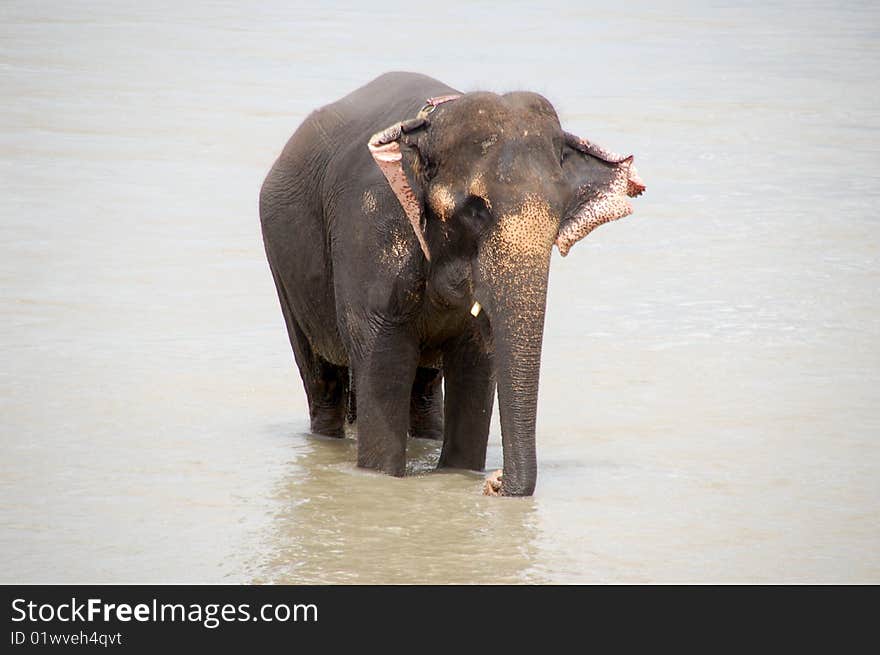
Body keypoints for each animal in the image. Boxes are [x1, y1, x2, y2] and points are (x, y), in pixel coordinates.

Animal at [258, 72, 644, 494]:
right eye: (475, 210)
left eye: (560, 209)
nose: (496, 482)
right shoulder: (370, 228)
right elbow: (381, 354)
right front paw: (381, 476)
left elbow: (476, 359)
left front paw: (460, 472)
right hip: (283, 267)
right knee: (322, 381)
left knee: (425, 391)